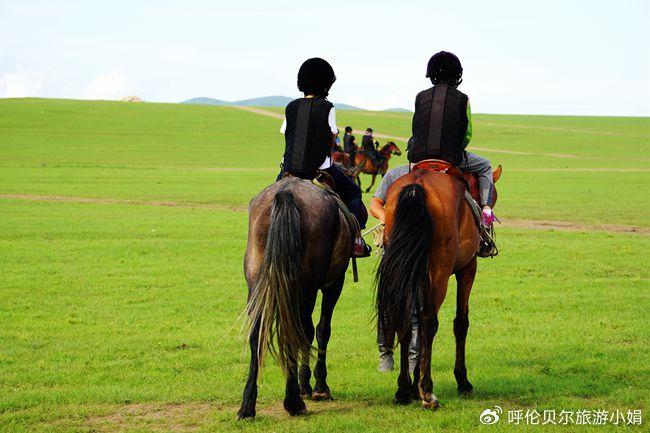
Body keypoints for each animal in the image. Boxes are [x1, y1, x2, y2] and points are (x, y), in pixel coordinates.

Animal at [237, 176, 352, 418]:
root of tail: (285, 194)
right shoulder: (334, 284)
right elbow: (321, 330)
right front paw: (316, 387)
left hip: (256, 281)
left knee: (257, 332)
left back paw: (248, 405)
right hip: (306, 287)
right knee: (299, 331)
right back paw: (293, 401)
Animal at [374, 163, 502, 408]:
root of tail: (417, 186)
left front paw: (412, 384)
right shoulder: (467, 269)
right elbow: (460, 322)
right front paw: (462, 381)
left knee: (405, 319)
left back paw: (403, 390)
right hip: (439, 272)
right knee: (429, 321)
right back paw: (427, 391)